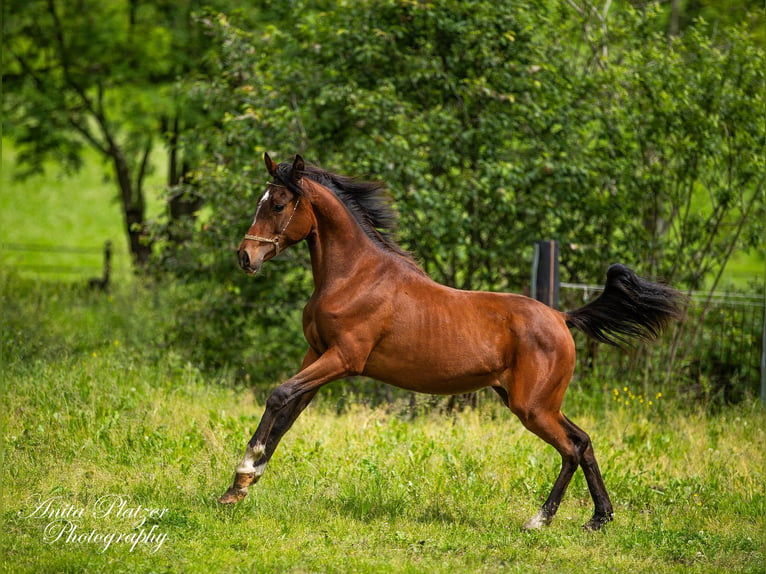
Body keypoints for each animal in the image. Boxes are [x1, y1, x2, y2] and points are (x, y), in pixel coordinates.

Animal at [220, 152, 684, 532]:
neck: (354, 276)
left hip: (532, 407)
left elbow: (279, 395)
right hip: (536, 401)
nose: (246, 257)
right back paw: (599, 519)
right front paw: (238, 488)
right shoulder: (315, 353)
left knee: (570, 448)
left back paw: (540, 520)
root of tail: (562, 317)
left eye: (278, 204)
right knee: (584, 440)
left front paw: (243, 471)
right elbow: (288, 412)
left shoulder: (344, 359)